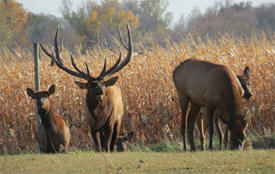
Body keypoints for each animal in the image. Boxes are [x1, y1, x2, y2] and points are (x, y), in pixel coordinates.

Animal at [40, 24, 134, 152]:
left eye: (103, 84)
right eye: (90, 85)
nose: (100, 91)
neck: (99, 116)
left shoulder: (110, 124)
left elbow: (107, 146)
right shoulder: (91, 126)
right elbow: (98, 146)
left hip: (118, 119)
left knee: (112, 142)